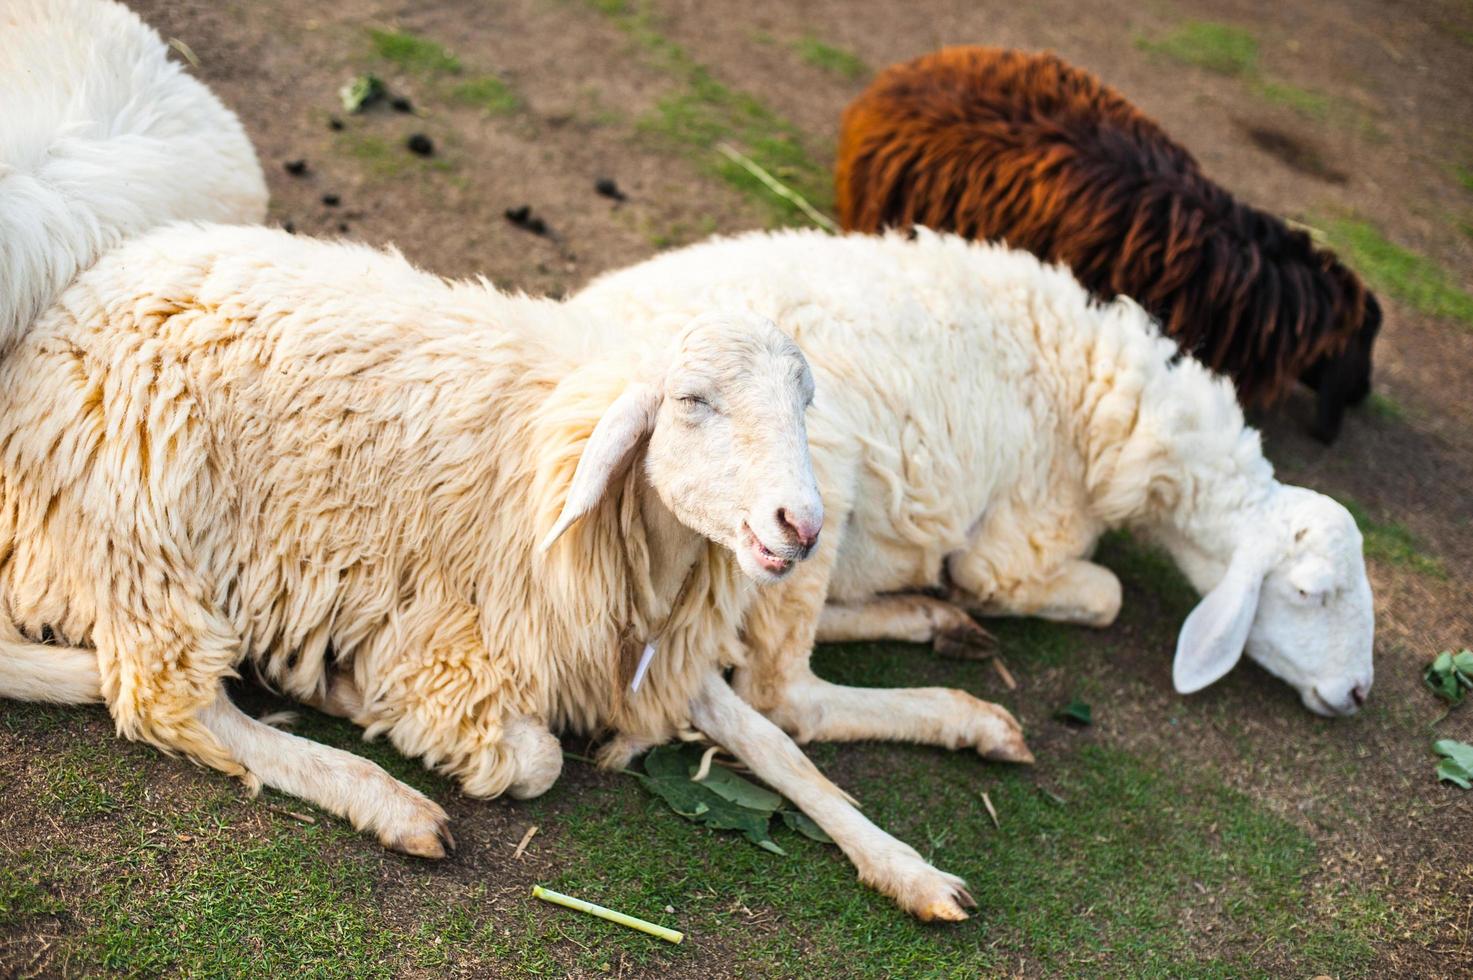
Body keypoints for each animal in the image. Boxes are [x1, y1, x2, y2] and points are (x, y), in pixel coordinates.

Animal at [0, 225, 1025, 919]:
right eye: (690, 401)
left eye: (805, 401)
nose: (801, 527)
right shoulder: (460, 651)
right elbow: (535, 761)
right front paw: (373, 705)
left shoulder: (635, 651)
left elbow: (780, 748)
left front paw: (908, 865)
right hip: (144, 539)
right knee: (171, 702)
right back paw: (386, 797)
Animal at [568, 229, 1372, 736]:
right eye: (1310, 592)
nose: (1358, 692)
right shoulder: (1016, 547)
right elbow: (1103, 595)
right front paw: (976, 600)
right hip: (806, 495)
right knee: (784, 695)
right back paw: (971, 715)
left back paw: (932, 617)